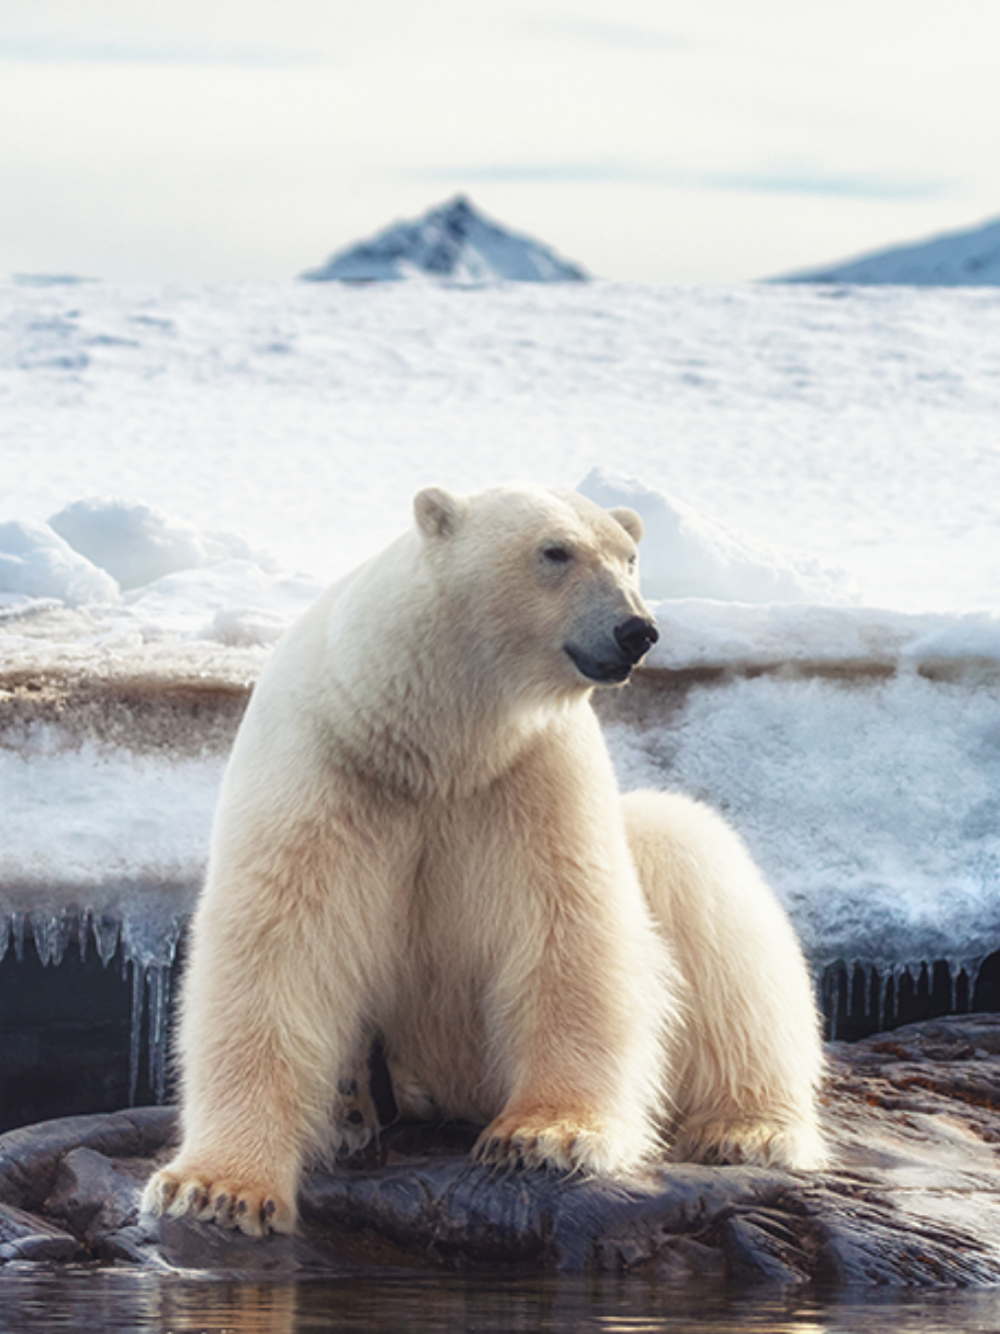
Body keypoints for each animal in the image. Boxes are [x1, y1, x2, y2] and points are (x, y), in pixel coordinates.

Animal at [142, 483, 824, 1237]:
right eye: (555, 552)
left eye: (630, 557)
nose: (636, 630)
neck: (436, 742)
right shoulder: (325, 766)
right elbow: (279, 946)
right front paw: (215, 1190)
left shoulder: (533, 772)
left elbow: (569, 932)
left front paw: (547, 1135)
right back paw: (353, 1107)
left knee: (706, 888)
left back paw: (747, 1129)